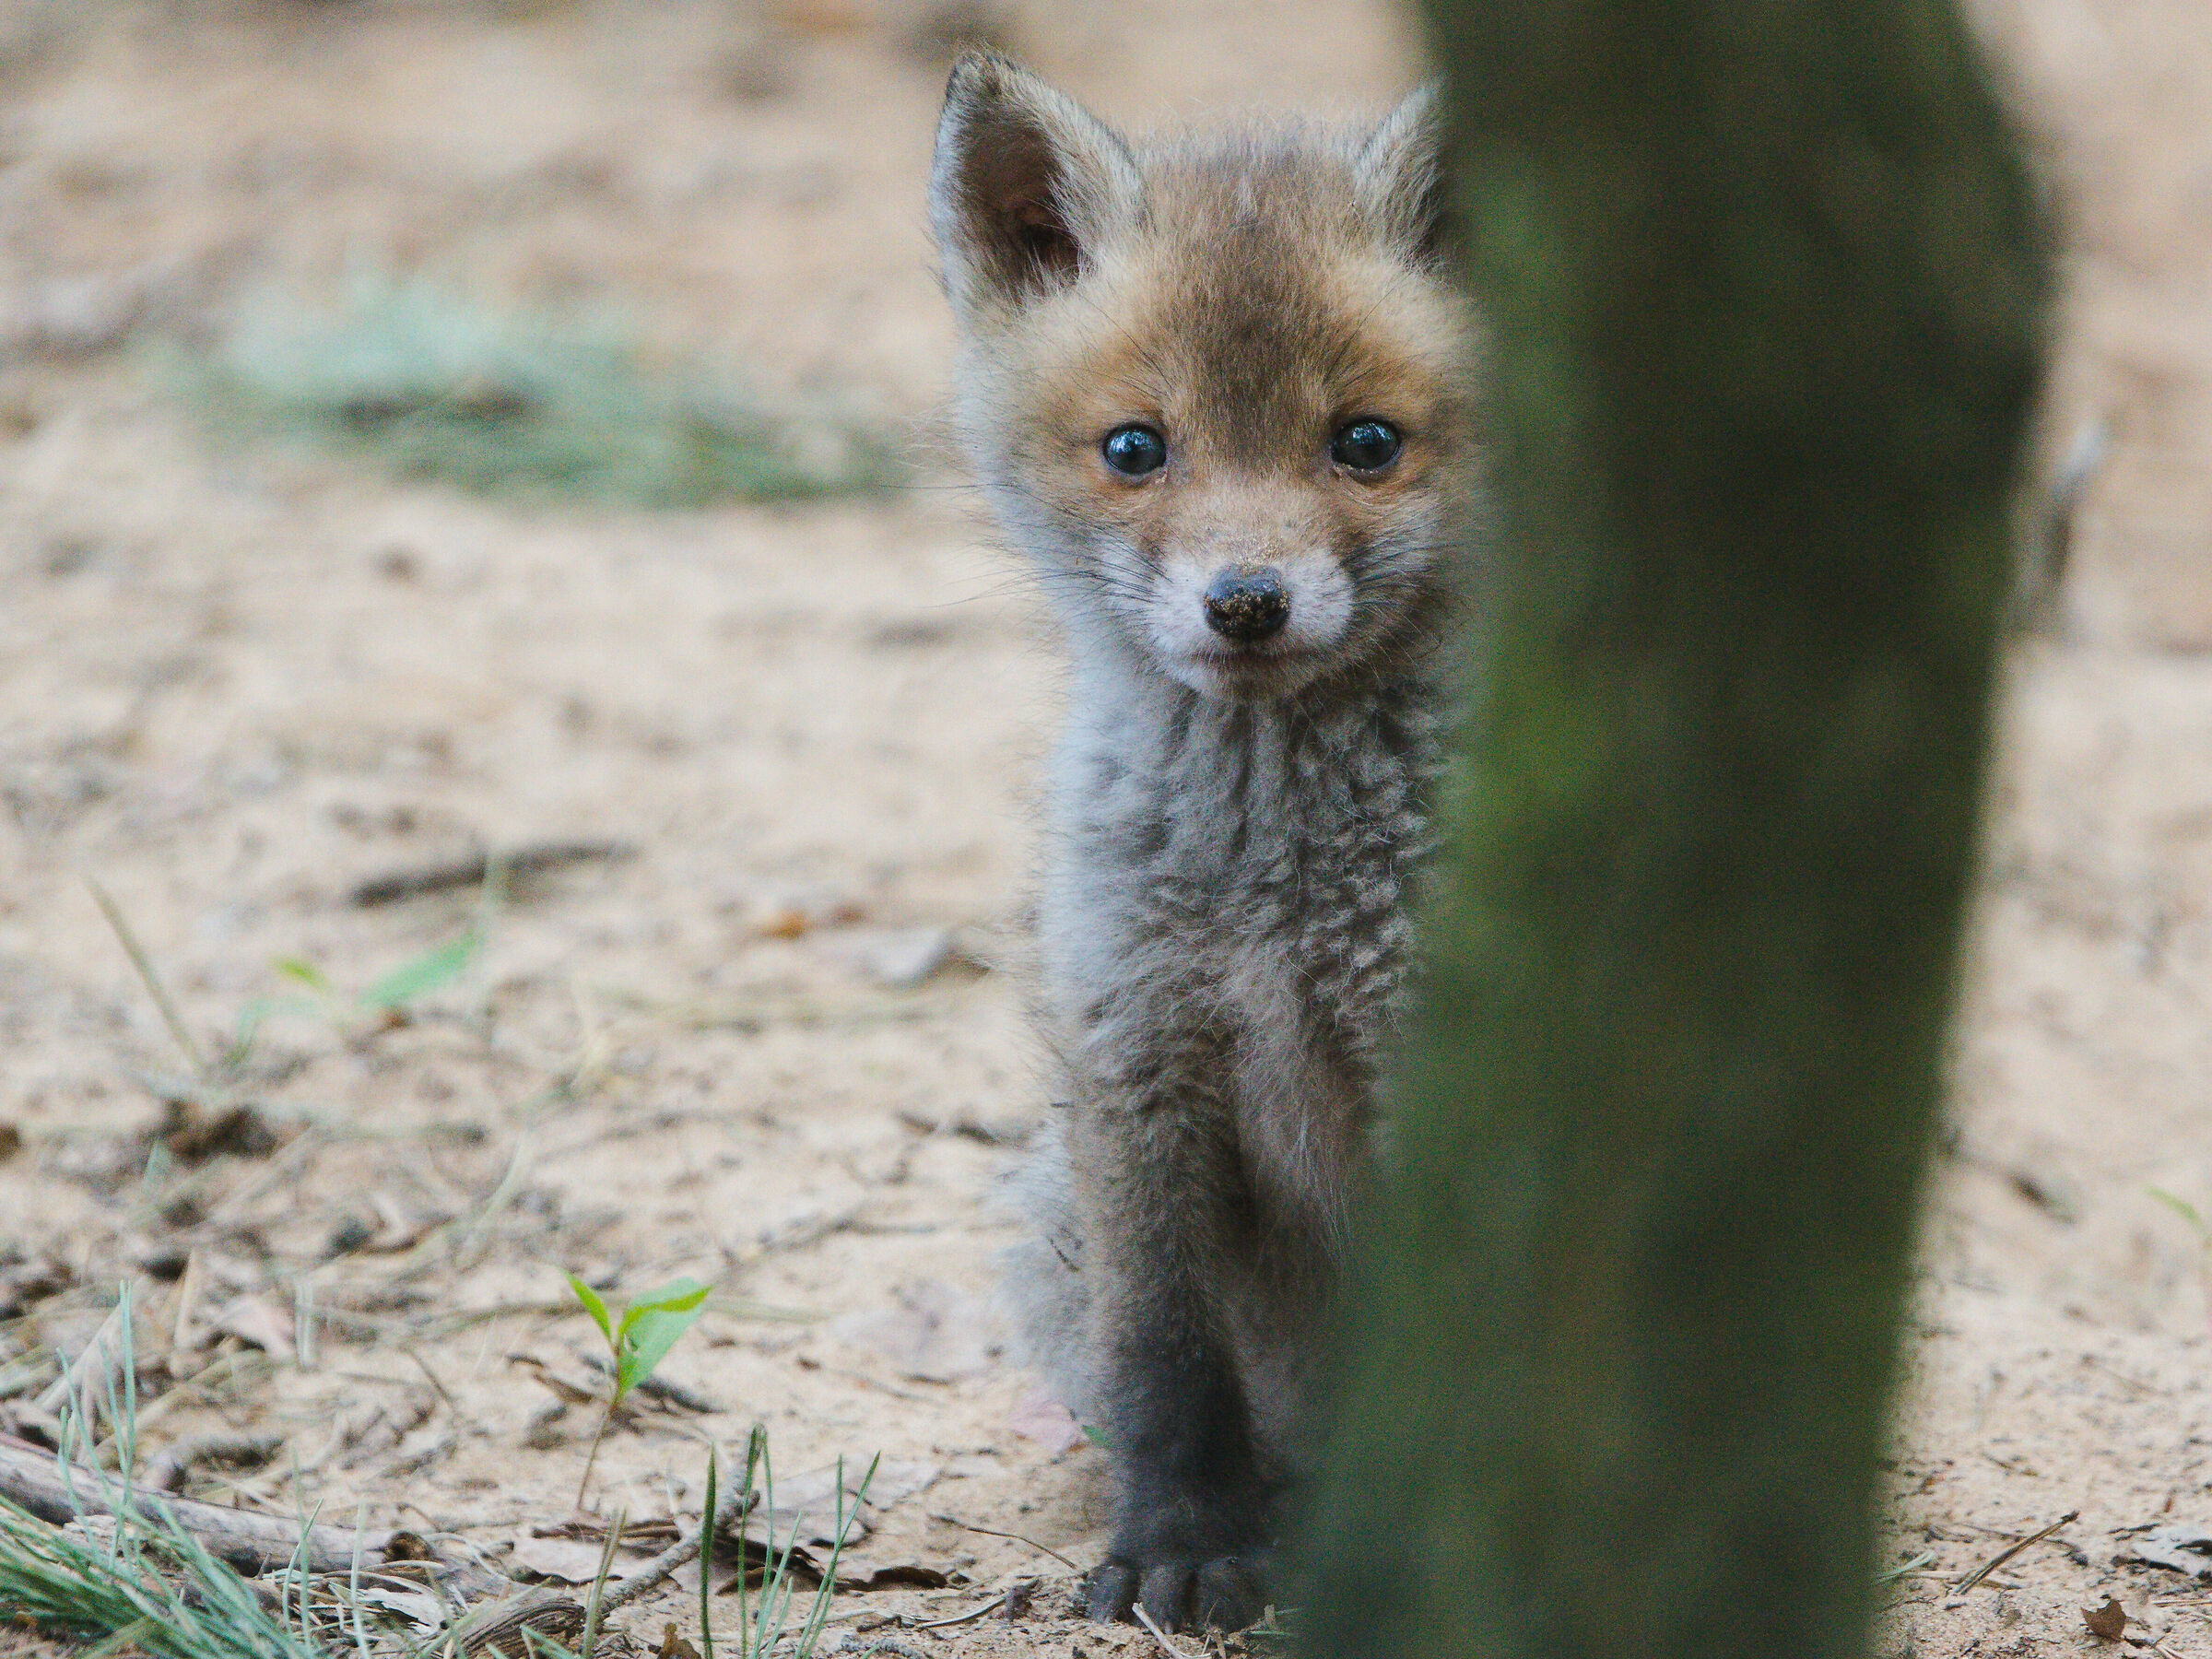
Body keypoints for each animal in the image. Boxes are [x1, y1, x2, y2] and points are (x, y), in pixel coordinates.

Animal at [927, 53, 1479, 1632]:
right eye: (1136, 448)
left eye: (1365, 443)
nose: (1247, 601)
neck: (1266, 891)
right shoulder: (1136, 1056)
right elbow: (1166, 1364)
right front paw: (1183, 1542)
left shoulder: (1426, 1065)